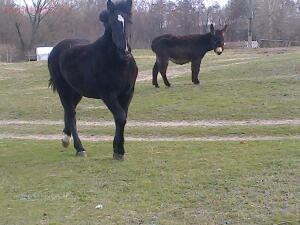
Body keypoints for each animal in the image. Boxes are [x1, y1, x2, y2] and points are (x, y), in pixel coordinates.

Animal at [48, 0, 138, 160]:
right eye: (112, 22)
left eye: (129, 21)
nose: (125, 50)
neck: (119, 63)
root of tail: (55, 49)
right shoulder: (108, 95)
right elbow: (120, 117)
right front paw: (119, 151)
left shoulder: (128, 93)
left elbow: (123, 118)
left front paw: (118, 150)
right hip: (63, 89)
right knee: (70, 114)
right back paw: (79, 148)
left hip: (77, 92)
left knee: (70, 112)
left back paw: (65, 139)